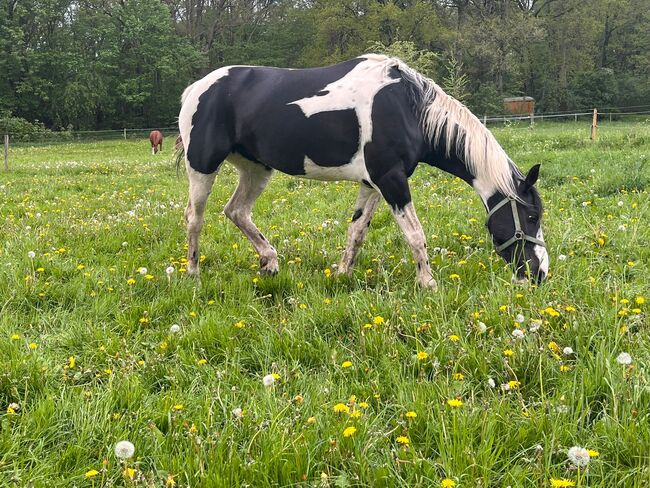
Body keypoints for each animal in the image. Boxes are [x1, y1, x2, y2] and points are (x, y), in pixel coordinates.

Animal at [175, 55, 544, 288]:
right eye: (531, 218)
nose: (539, 274)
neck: (407, 108)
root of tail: (195, 88)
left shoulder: (373, 184)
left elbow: (356, 232)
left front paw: (342, 275)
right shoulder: (391, 180)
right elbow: (415, 234)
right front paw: (428, 283)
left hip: (256, 169)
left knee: (236, 211)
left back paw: (270, 262)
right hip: (203, 166)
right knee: (195, 217)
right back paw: (192, 273)